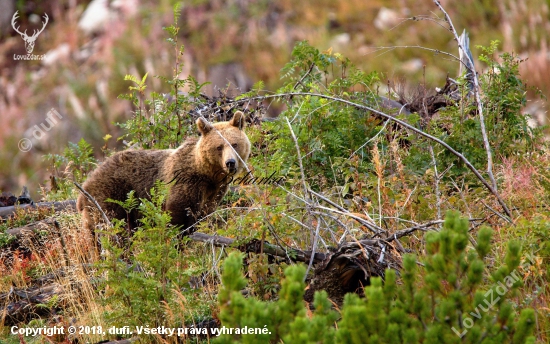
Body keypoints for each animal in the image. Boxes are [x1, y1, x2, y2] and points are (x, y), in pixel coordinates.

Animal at [76, 111, 251, 238]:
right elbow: (177, 215)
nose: (230, 163)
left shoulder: (214, 193)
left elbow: (203, 215)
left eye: (235, 144)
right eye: (219, 147)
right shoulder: (186, 183)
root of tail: (84, 188)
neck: (208, 175)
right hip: (110, 197)